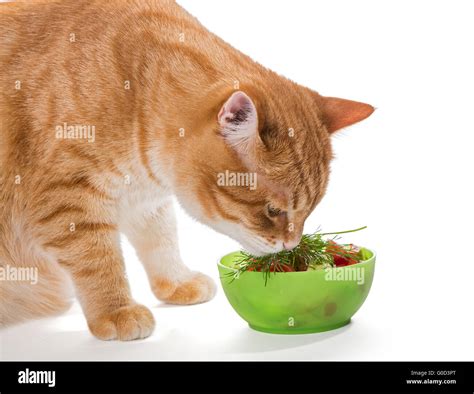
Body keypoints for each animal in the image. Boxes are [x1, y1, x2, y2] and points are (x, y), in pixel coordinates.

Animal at [0, 0, 374, 340]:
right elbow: (98, 260)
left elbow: (162, 238)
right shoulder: (67, 201)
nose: (290, 246)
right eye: (272, 210)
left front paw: (176, 281)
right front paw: (116, 310)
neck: (133, 89)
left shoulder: (145, 198)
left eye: (308, 211)